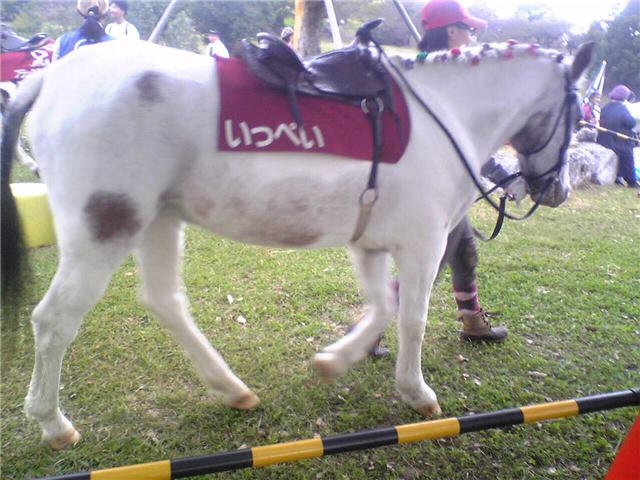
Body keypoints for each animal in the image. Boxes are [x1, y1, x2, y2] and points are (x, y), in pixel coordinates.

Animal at [1, 38, 593, 449]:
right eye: (577, 108)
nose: (557, 189)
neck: (442, 117)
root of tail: (51, 78)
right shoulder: (424, 245)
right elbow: (411, 317)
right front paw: (415, 392)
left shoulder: (371, 244)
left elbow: (382, 307)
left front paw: (335, 361)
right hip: (106, 227)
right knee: (53, 321)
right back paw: (53, 423)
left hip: (158, 221)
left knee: (166, 302)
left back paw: (231, 388)